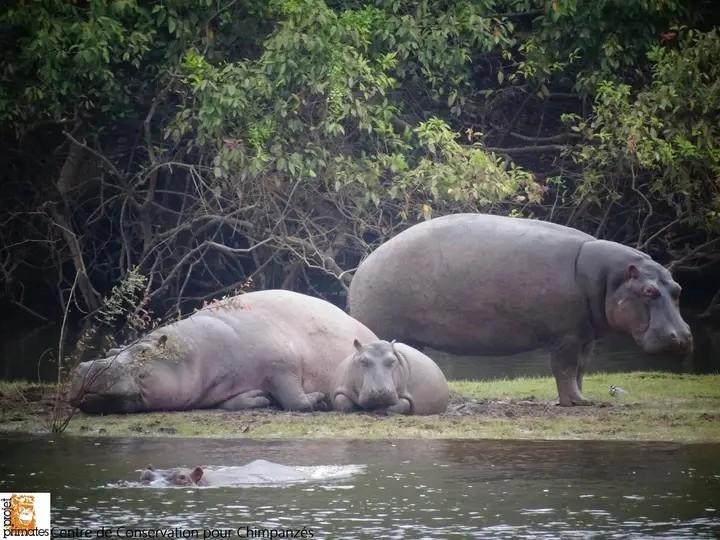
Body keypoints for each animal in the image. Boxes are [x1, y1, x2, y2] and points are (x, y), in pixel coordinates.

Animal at [69, 290, 377, 413]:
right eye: (114, 347)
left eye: (143, 352)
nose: (88, 365)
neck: (194, 353)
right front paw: (258, 398)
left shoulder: (282, 364)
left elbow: (296, 399)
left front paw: (319, 400)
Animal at [348, 213, 693, 406]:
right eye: (648, 291)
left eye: (678, 289)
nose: (682, 337)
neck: (609, 278)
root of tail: (363, 266)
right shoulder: (566, 336)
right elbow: (565, 368)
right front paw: (576, 403)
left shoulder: (585, 336)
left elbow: (581, 369)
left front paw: (583, 399)